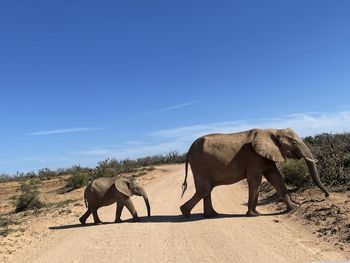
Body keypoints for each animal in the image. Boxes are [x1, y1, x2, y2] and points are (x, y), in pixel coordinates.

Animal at [179, 128, 330, 219]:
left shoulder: (266, 158)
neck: (274, 130)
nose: (326, 196)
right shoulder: (254, 158)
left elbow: (276, 178)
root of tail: (188, 151)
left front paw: (294, 207)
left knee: (207, 190)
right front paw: (254, 214)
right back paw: (185, 213)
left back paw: (211, 215)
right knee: (204, 189)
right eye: (293, 143)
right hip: (200, 165)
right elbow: (255, 180)